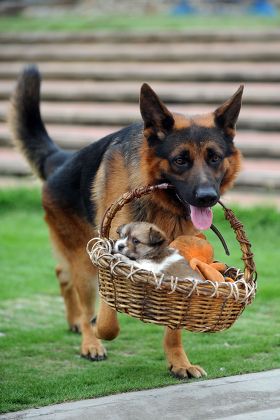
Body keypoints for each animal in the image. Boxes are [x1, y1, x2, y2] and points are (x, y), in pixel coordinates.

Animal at [9, 65, 243, 378]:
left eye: (214, 158)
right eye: (180, 160)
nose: (207, 197)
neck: (159, 200)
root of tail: (62, 159)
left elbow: (175, 327)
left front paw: (179, 362)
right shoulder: (108, 254)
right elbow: (109, 318)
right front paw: (104, 328)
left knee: (61, 273)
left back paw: (75, 321)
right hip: (84, 260)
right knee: (81, 294)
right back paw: (90, 341)